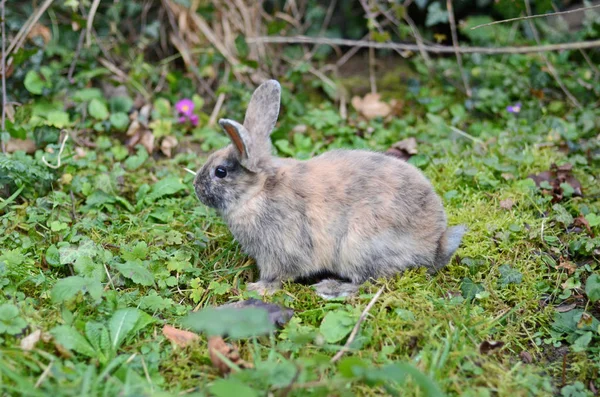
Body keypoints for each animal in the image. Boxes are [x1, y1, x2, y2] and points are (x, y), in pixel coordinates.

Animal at [195, 79, 466, 296]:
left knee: (370, 282)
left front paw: (258, 288)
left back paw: (331, 288)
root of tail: (433, 246)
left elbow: (278, 275)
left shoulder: (280, 251)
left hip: (359, 247)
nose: (196, 187)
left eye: (220, 172)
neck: (257, 193)